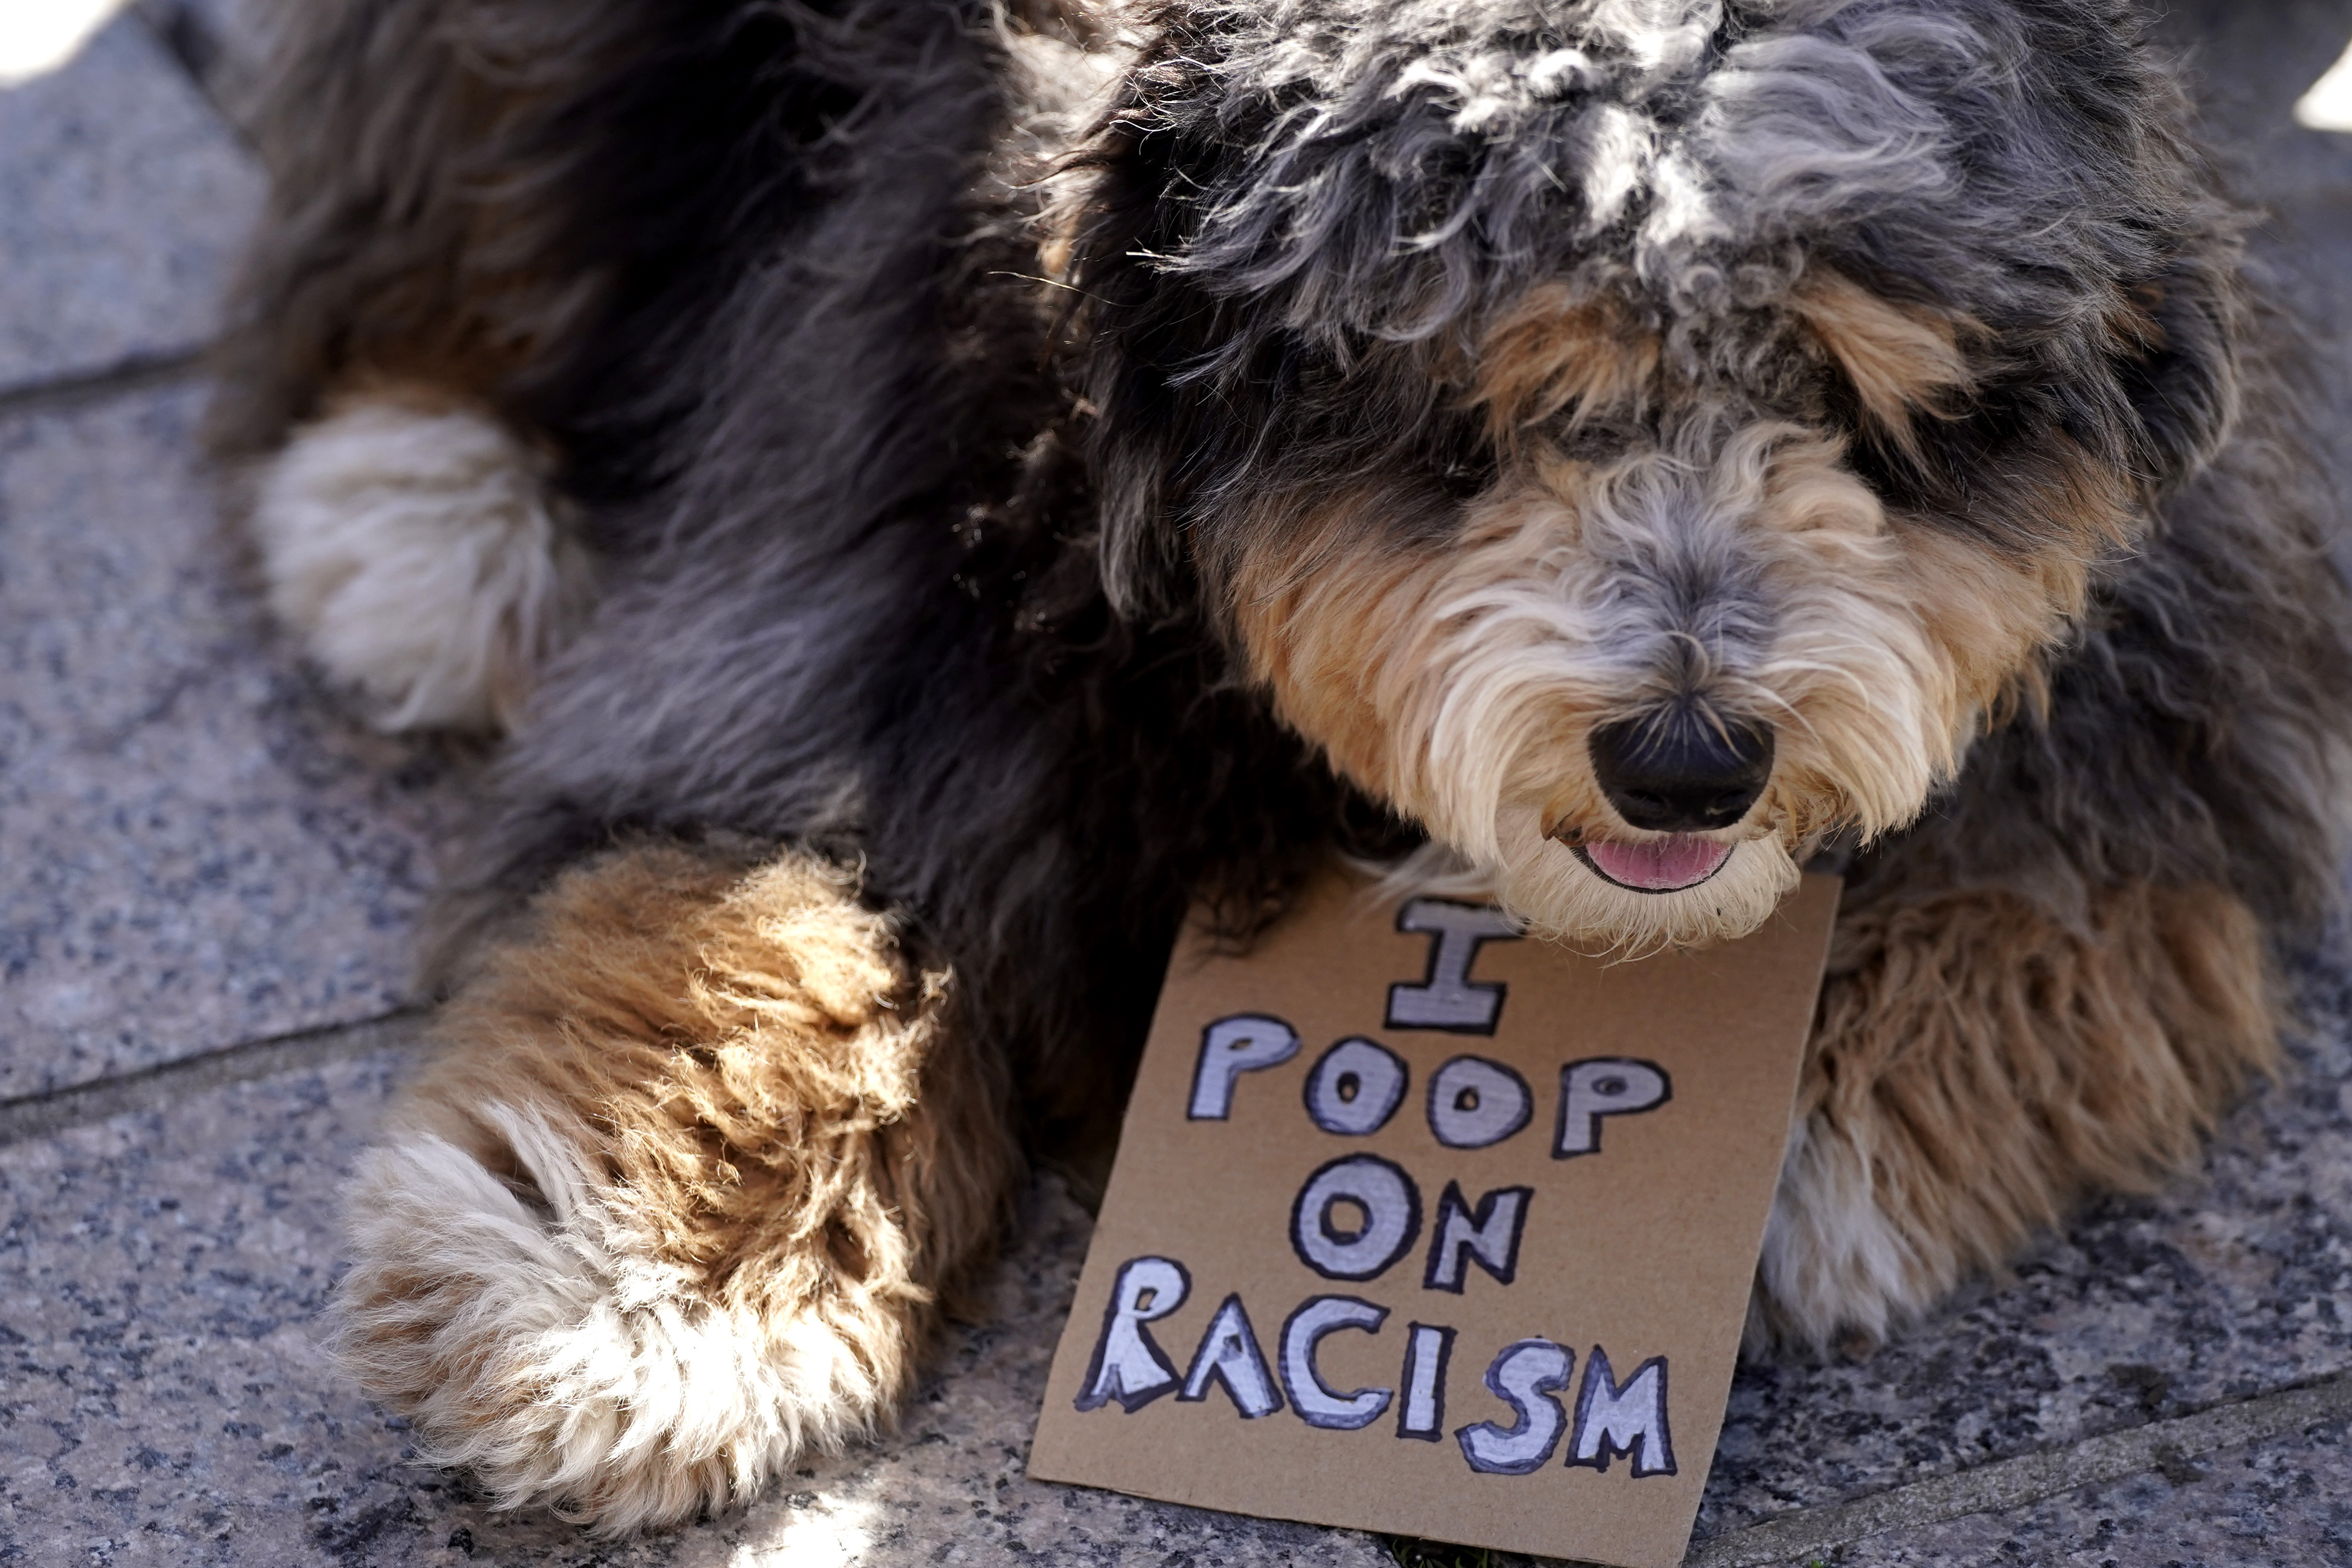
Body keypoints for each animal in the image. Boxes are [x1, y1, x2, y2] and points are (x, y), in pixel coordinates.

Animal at [211, 0, 2342, 1533]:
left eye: (1841, 387)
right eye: (1484, 404)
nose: (1685, 764)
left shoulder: (2177, 659)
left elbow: (2060, 864)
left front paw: (1792, 1130)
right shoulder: (852, 585)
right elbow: (791, 922)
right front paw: (627, 1295)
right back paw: (417, 499)